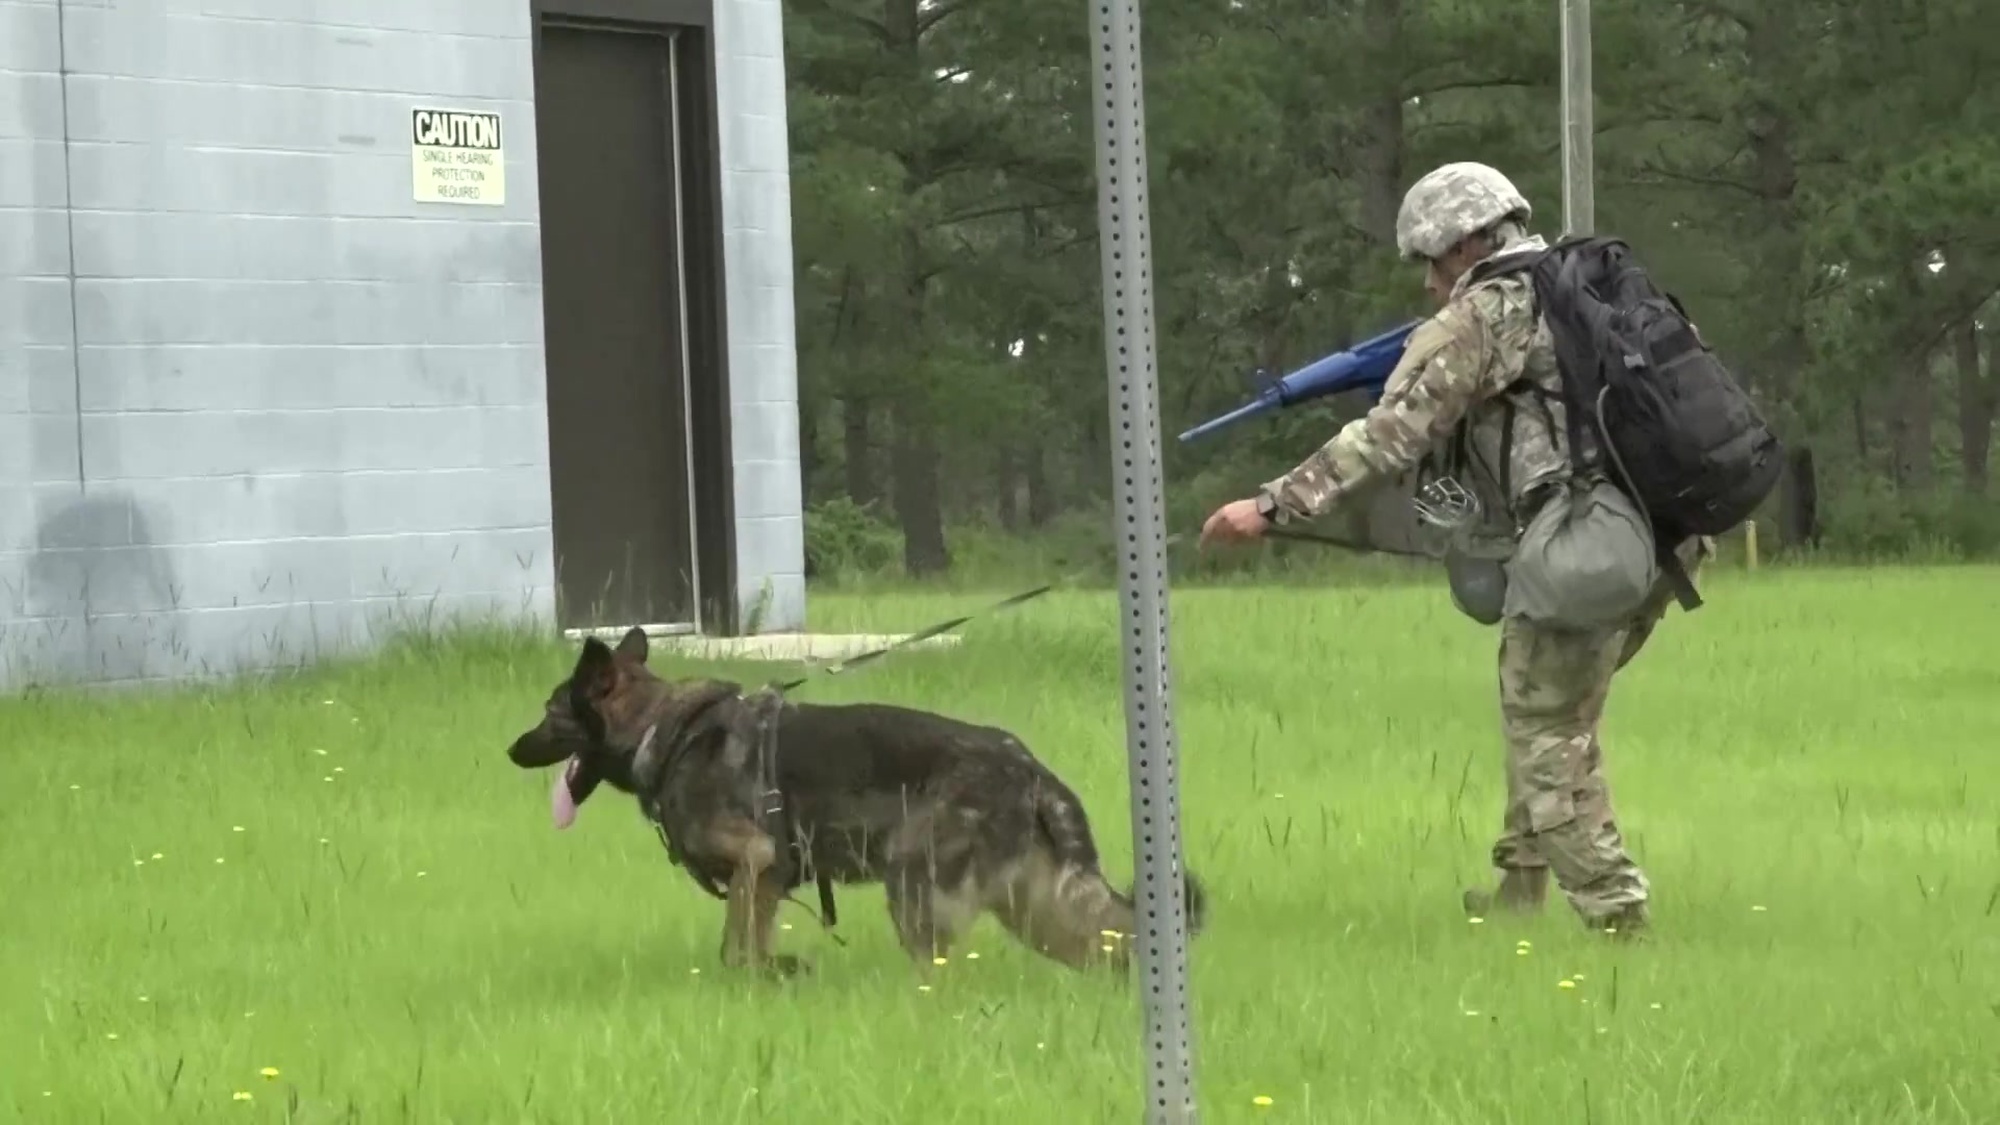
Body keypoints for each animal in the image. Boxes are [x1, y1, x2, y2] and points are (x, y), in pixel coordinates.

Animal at [508, 632, 1208, 972]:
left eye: (548, 713)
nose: (511, 749)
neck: (659, 727)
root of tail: (1028, 765)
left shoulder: (755, 863)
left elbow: (735, 950)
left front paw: (770, 975)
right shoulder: (766, 881)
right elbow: (746, 949)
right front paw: (777, 975)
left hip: (916, 889)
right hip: (1029, 906)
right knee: (1108, 947)